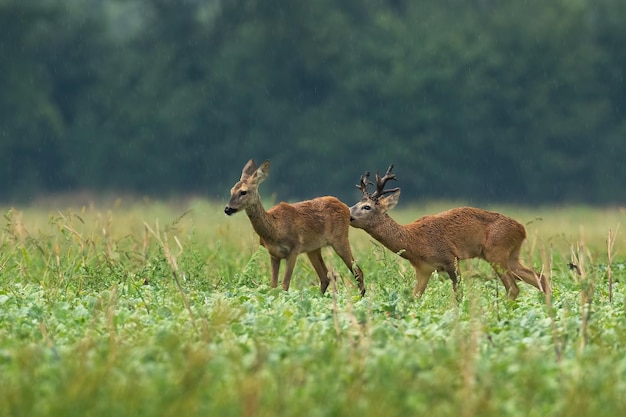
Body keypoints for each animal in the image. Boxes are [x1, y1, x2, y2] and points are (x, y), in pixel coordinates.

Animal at [224, 158, 364, 296]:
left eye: (243, 192)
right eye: (231, 191)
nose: (227, 209)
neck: (275, 230)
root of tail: (345, 207)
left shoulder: (294, 249)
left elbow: (285, 285)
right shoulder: (274, 254)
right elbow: (273, 286)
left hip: (340, 238)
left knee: (357, 271)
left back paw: (361, 296)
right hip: (313, 248)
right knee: (325, 276)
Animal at [348, 164, 548, 298]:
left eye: (366, 207)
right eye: (356, 203)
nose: (348, 213)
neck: (414, 241)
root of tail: (522, 229)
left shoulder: (450, 258)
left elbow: (458, 294)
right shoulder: (424, 269)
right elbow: (415, 296)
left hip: (496, 251)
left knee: (513, 287)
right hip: (511, 255)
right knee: (540, 277)